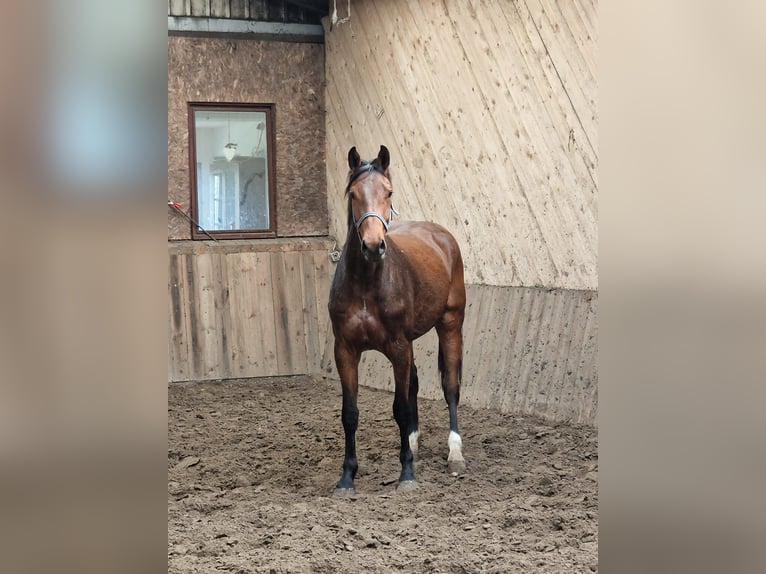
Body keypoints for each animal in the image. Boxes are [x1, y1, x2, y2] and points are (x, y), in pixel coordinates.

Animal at [326, 146, 464, 498]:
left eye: (388, 192)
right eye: (353, 194)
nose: (374, 246)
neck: (366, 284)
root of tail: (441, 235)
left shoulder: (399, 347)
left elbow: (401, 408)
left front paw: (407, 475)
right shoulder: (345, 351)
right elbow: (350, 414)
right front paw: (347, 477)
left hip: (451, 324)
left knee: (451, 387)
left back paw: (455, 454)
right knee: (413, 383)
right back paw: (412, 446)